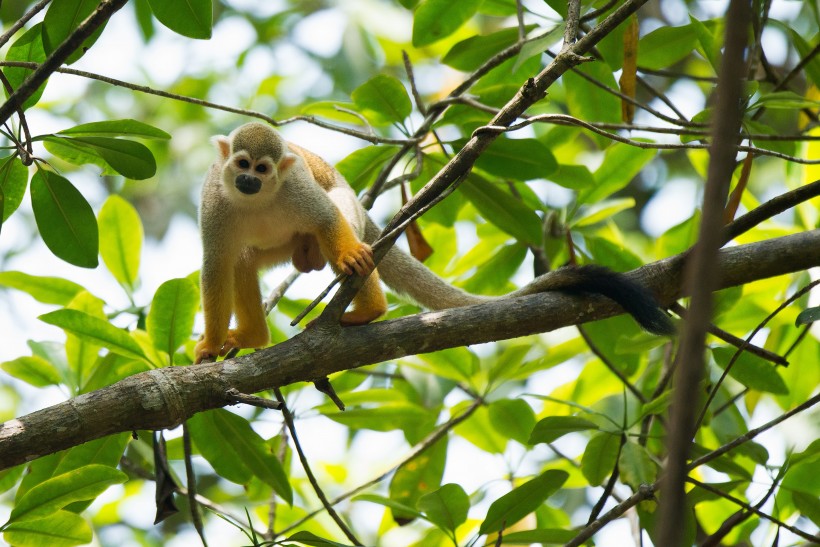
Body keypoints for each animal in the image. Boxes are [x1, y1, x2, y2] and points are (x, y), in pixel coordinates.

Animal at [194, 123, 672, 364]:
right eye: (241, 164)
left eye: (262, 168)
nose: (249, 180)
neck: (256, 199)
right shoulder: (213, 200)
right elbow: (216, 266)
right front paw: (211, 345)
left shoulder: (294, 189)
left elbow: (327, 218)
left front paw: (350, 259)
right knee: (243, 259)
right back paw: (254, 335)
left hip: (344, 211)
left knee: (339, 221)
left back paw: (368, 306)